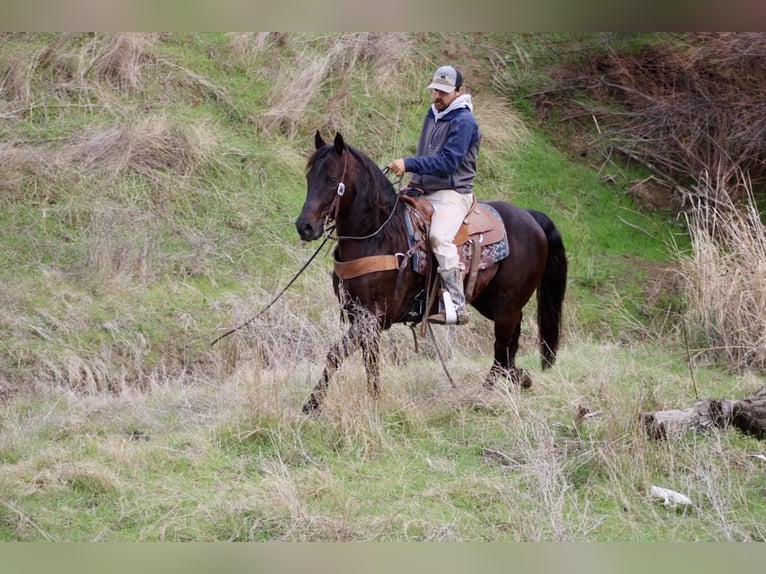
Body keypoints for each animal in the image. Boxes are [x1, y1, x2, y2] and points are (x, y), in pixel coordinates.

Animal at [296, 133, 568, 416]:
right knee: (510, 343)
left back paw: (485, 394)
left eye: (331, 179)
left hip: (506, 307)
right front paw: (373, 401)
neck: (378, 235)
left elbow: (335, 354)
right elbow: (370, 360)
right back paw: (517, 377)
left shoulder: (373, 315)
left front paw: (312, 405)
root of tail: (531, 216)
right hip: (493, 303)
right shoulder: (359, 315)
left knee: (501, 349)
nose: (305, 227)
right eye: (309, 177)